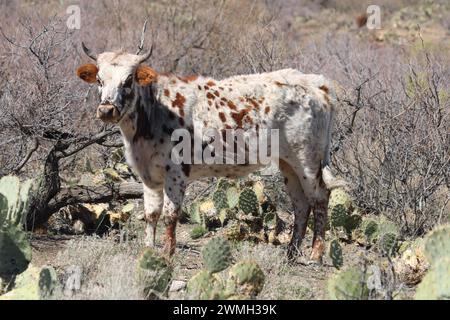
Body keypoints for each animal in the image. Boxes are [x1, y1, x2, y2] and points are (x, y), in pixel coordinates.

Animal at [75, 45, 340, 264]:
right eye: (99, 79)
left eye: (128, 79)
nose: (106, 110)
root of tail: (317, 83)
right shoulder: (148, 176)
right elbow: (151, 215)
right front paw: (147, 251)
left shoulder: (176, 173)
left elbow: (170, 215)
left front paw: (167, 255)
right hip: (288, 164)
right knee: (300, 204)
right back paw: (291, 254)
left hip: (307, 159)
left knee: (320, 197)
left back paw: (315, 255)